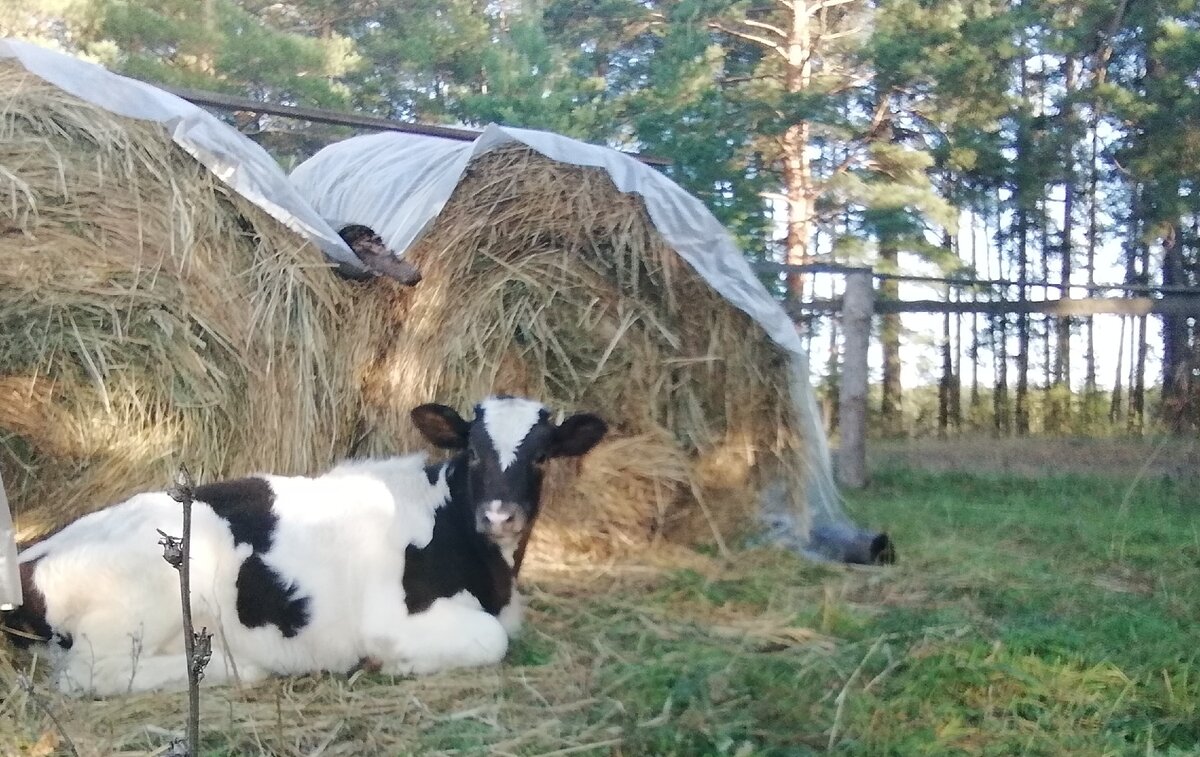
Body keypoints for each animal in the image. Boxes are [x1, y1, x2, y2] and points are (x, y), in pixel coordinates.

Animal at [0, 395, 600, 700]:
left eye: (542, 456)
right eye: (473, 452)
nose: (499, 515)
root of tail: (31, 559)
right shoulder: (394, 619)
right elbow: (491, 641)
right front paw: (394, 665)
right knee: (87, 675)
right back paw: (238, 668)